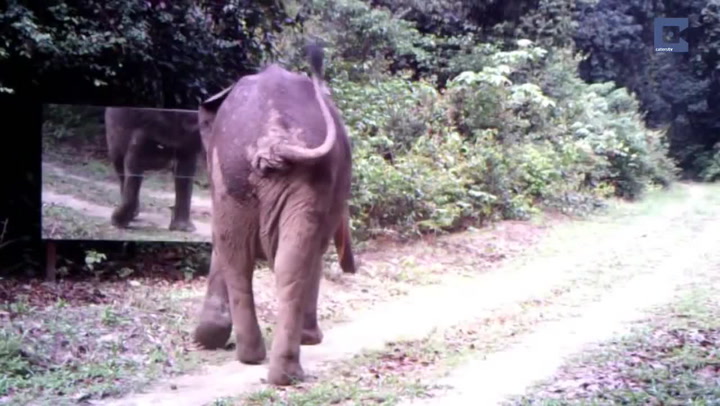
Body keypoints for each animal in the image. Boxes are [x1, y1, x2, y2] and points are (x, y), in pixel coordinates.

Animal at [190, 42, 350, 386]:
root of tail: (274, 141)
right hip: (245, 172)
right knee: (274, 258)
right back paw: (276, 367)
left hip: (242, 172)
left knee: (244, 255)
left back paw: (267, 365)